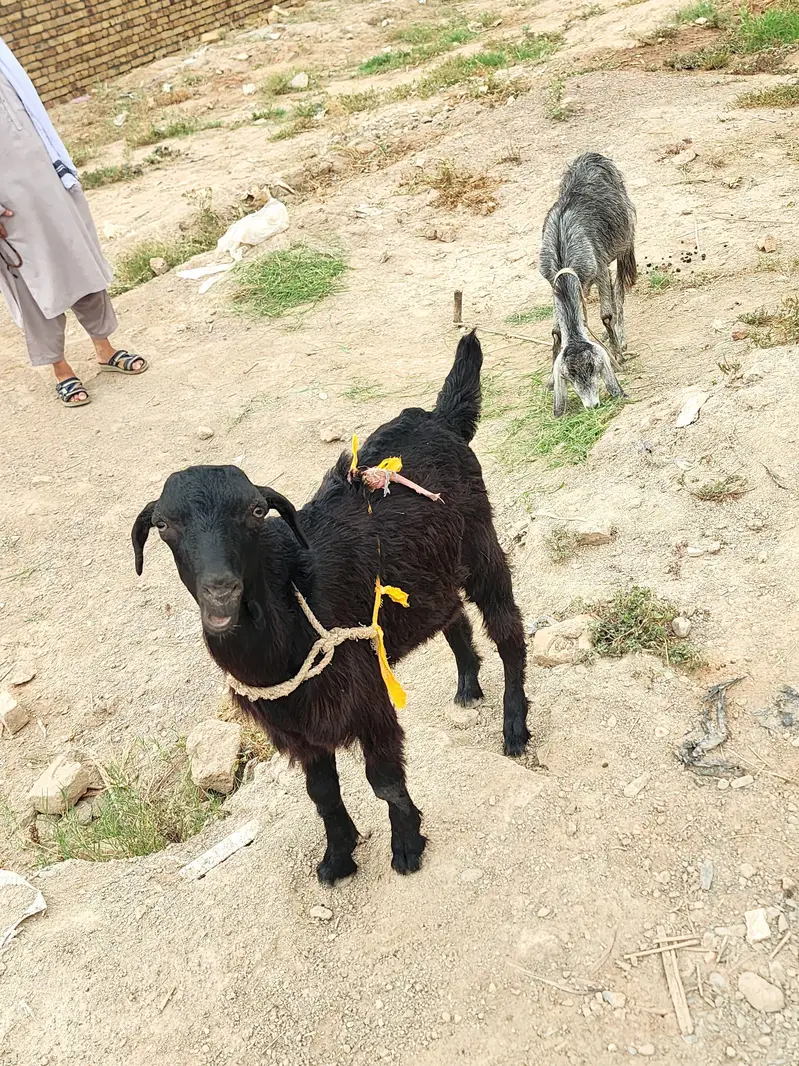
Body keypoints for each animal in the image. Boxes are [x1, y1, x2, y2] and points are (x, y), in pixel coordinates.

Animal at [131, 331, 530, 885]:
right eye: (164, 525)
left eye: (257, 511)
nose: (221, 591)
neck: (293, 601)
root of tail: (438, 418)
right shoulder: (297, 727)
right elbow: (321, 793)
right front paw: (338, 858)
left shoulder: (366, 696)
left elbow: (383, 780)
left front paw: (407, 847)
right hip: (432, 571)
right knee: (452, 615)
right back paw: (468, 684)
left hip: (481, 546)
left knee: (508, 631)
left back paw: (515, 727)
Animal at [539, 151, 637, 417]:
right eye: (569, 376)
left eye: (593, 367)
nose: (592, 405)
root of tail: (591, 156)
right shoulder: (551, 280)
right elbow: (557, 330)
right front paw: (549, 381)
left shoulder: (600, 265)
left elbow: (606, 314)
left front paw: (618, 356)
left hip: (626, 244)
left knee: (619, 290)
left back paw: (621, 338)